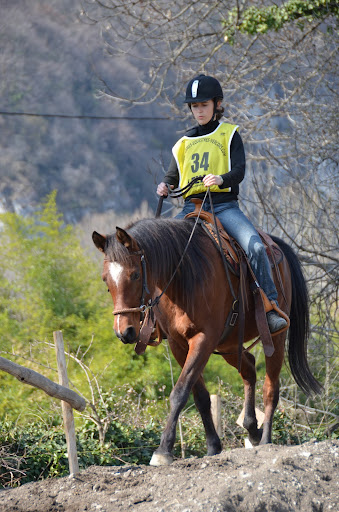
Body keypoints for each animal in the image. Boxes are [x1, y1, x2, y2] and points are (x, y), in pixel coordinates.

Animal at [92, 218, 322, 466]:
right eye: (105, 279)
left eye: (135, 275)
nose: (124, 332)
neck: (183, 276)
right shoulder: (179, 345)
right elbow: (200, 396)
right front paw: (213, 446)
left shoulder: (203, 339)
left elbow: (180, 392)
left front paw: (163, 450)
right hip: (229, 345)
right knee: (249, 368)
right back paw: (252, 429)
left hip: (275, 339)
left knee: (270, 388)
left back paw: (265, 438)